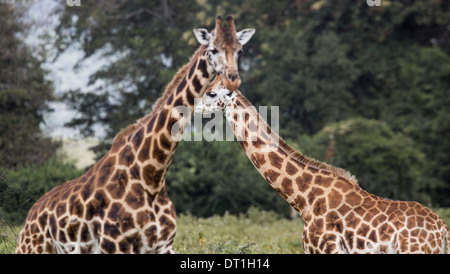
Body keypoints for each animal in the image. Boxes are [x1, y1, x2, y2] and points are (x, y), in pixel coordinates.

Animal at [15, 16, 255, 254]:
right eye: (213, 49)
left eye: (239, 49)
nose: (232, 79)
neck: (153, 177)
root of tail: (28, 219)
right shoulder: (116, 246)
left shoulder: (163, 246)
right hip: (33, 249)